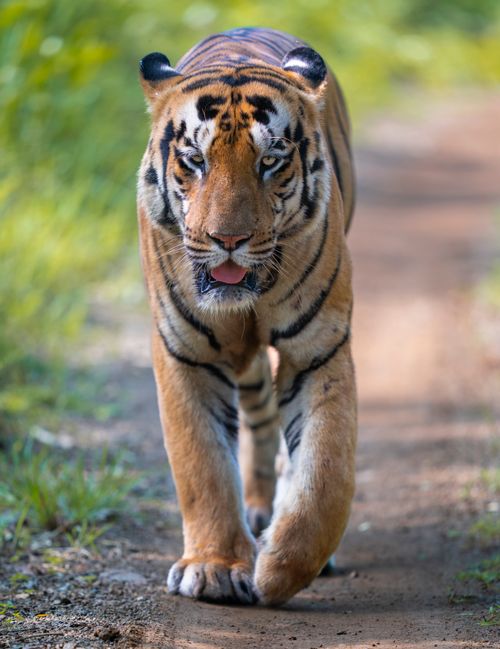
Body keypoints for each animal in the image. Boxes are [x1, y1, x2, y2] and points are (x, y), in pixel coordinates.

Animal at [137, 27, 356, 606]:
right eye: (194, 160)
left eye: (271, 161)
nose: (228, 240)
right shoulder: (184, 353)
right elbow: (203, 465)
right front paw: (215, 569)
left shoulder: (318, 350)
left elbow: (327, 471)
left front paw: (281, 569)